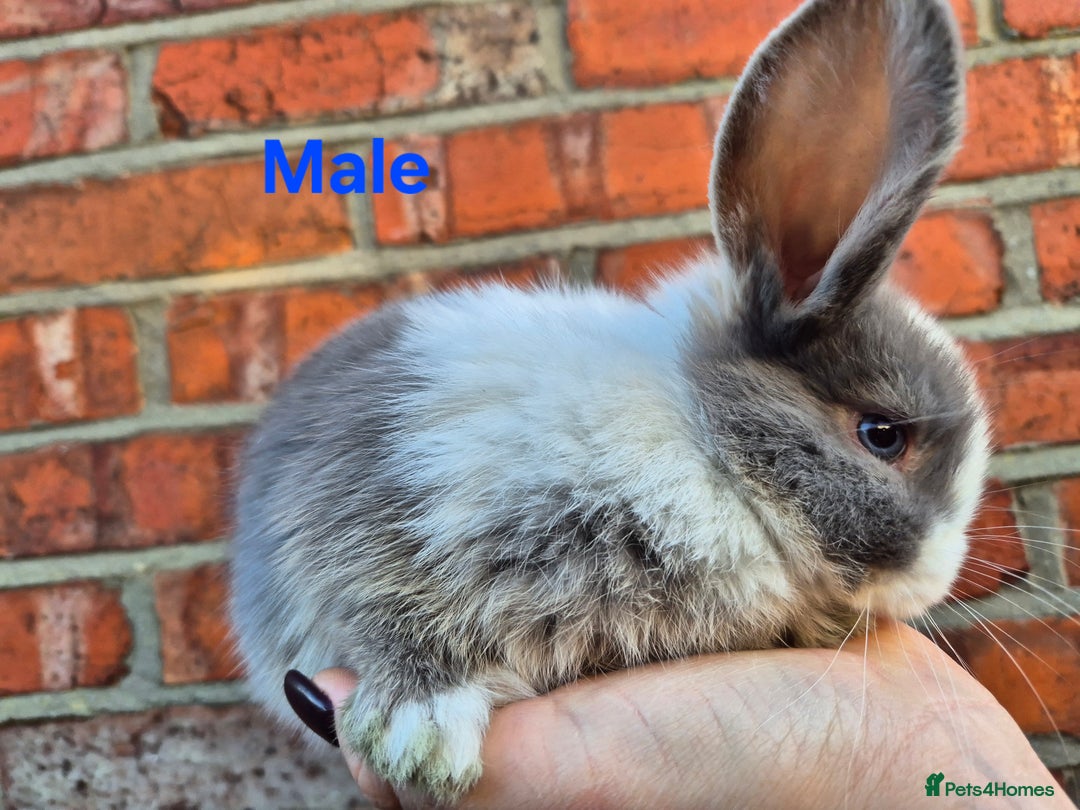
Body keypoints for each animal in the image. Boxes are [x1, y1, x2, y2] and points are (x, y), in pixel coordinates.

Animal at [230, 0, 990, 802]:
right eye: (882, 434)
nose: (936, 574)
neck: (702, 444)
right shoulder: (373, 505)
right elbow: (383, 605)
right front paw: (422, 733)